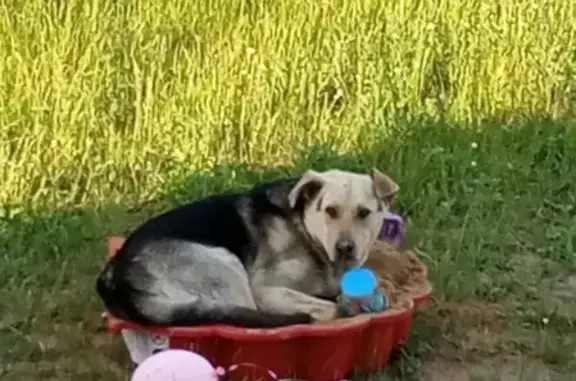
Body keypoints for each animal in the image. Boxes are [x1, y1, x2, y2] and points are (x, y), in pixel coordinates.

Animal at [95, 168, 400, 326]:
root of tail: (113, 275)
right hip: (226, 263)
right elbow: (331, 309)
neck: (306, 230)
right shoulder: (265, 290)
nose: (345, 247)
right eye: (330, 211)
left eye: (363, 213)